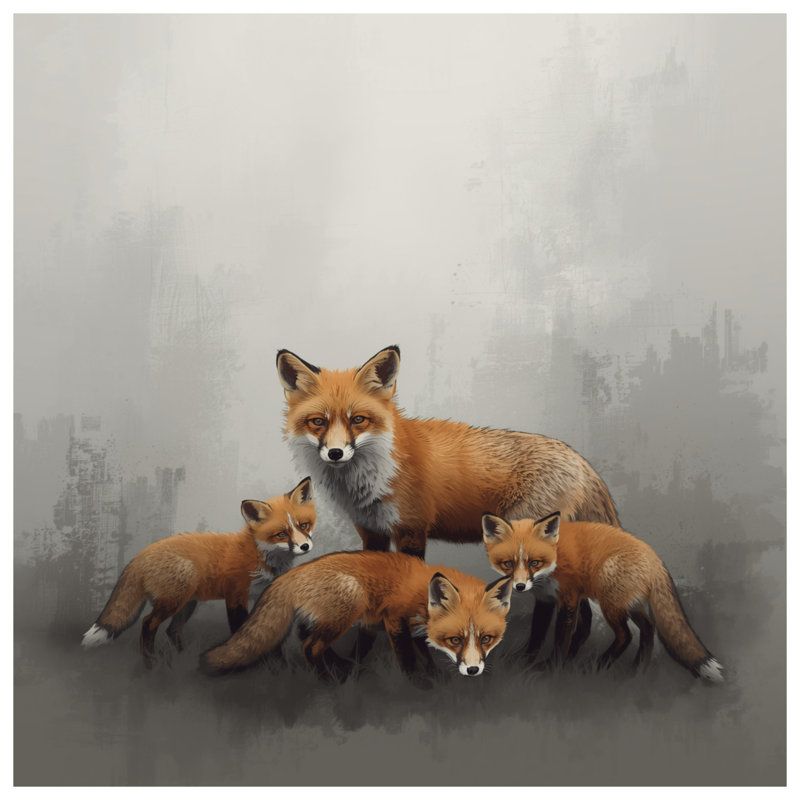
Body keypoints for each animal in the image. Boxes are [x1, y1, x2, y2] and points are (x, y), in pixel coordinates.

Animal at [81, 477, 316, 666]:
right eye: (281, 534)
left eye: (304, 525)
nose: (305, 546)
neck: (260, 555)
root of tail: (141, 554)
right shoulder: (235, 594)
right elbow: (241, 631)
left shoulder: (264, 595)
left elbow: (267, 633)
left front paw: (276, 663)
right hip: (175, 599)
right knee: (148, 623)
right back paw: (151, 663)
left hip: (187, 603)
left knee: (172, 630)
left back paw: (182, 660)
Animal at [199, 550, 513, 679]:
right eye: (455, 640)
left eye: (486, 639)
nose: (472, 671)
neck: (423, 594)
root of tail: (290, 575)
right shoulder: (395, 619)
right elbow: (407, 658)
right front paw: (419, 685)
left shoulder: (417, 628)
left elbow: (424, 655)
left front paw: (435, 678)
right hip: (350, 602)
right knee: (309, 646)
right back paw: (326, 681)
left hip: (324, 617)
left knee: (306, 637)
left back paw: (343, 667)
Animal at [276, 344, 620, 656]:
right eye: (318, 422)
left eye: (358, 419)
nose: (335, 453)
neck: (374, 472)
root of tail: (582, 462)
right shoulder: (372, 531)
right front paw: (361, 662)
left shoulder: (411, 530)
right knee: (580, 609)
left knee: (557, 602)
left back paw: (544, 663)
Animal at [481, 510, 724, 681]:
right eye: (508, 564)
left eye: (534, 562)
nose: (520, 586)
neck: (554, 561)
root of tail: (655, 558)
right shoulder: (545, 599)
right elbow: (537, 635)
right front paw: (525, 662)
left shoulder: (569, 598)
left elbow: (561, 638)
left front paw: (552, 669)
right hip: (627, 603)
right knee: (648, 627)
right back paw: (637, 671)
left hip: (610, 602)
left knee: (626, 635)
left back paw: (600, 665)